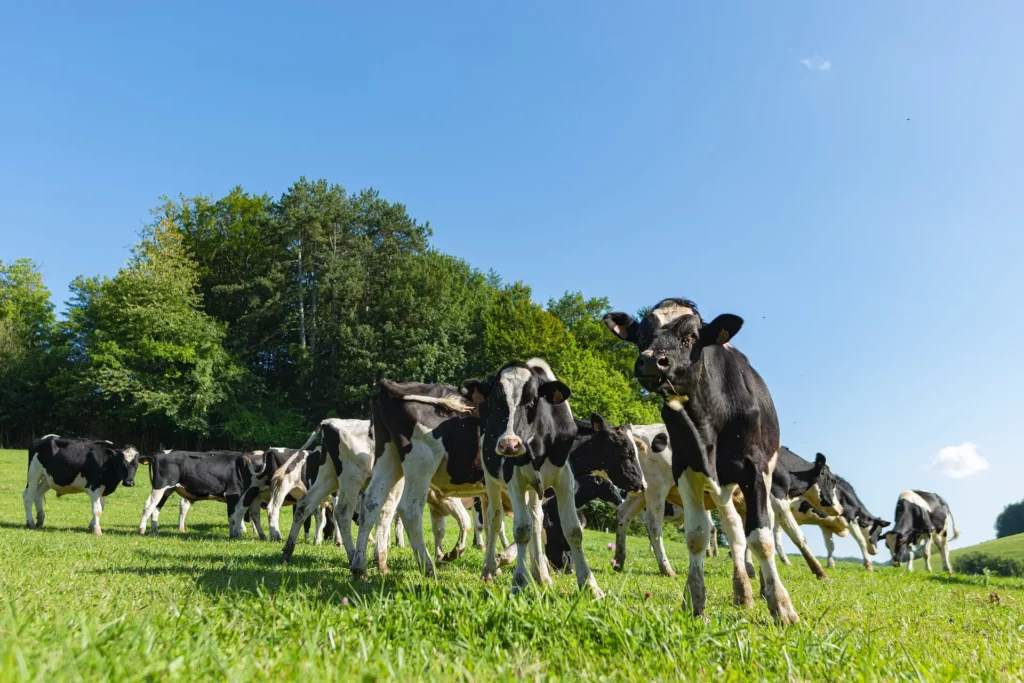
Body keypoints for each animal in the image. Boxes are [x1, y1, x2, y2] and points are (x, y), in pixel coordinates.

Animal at [459, 358, 646, 598]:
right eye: (627, 452)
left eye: (533, 401)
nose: (509, 444)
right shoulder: (514, 479)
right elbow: (521, 529)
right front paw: (518, 580)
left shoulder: (564, 480)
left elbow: (572, 530)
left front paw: (590, 585)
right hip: (492, 480)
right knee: (495, 517)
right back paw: (489, 569)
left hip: (533, 489)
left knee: (535, 519)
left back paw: (541, 575)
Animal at [604, 298, 799, 624]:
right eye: (641, 337)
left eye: (691, 337)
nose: (651, 361)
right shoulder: (687, 468)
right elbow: (697, 535)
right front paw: (694, 601)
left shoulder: (754, 470)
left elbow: (760, 537)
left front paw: (782, 606)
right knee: (725, 529)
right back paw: (740, 588)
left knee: (747, 530)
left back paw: (754, 586)